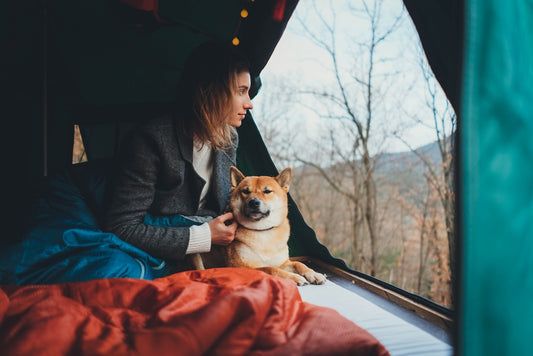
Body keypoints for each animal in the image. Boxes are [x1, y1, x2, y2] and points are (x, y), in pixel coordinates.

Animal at [191, 168, 324, 286]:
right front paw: (294, 277)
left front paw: (313, 273)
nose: (253, 202)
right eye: (245, 191)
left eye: (267, 191)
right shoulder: (241, 267)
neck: (262, 231)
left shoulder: (282, 262)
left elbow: (298, 263)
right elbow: (270, 269)